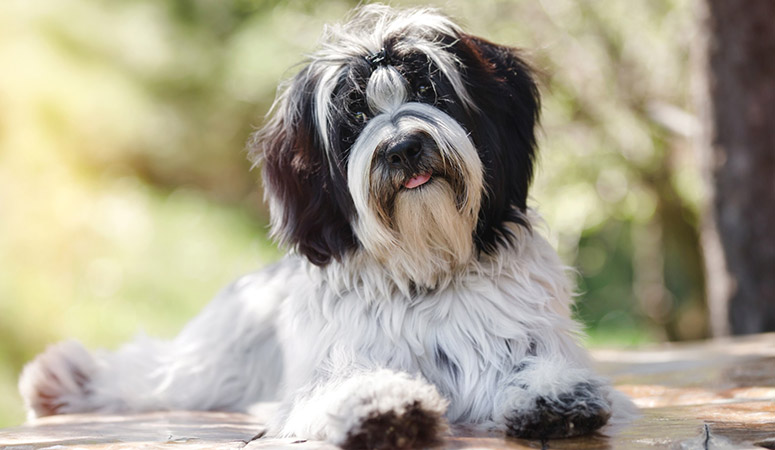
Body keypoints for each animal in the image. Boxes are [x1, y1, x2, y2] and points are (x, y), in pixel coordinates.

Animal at [19, 4, 632, 450]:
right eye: (354, 117)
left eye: (431, 92)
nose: (404, 147)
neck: (426, 272)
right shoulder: (324, 370)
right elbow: (338, 385)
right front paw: (379, 404)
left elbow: (530, 365)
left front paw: (552, 393)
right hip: (214, 357)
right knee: (153, 371)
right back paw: (63, 378)